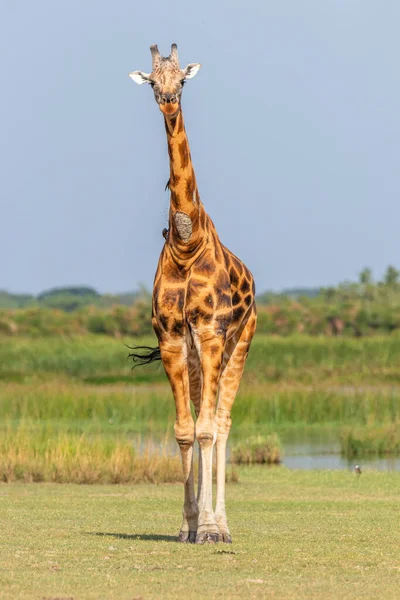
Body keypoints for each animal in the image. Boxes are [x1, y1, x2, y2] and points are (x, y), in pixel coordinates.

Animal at [130, 45, 258, 544]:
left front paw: (208, 528)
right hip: (200, 355)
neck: (187, 243)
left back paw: (222, 523)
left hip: (238, 343)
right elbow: (185, 431)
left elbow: (206, 430)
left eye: (181, 80)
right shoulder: (170, 338)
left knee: (221, 424)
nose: (167, 100)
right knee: (207, 423)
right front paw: (186, 524)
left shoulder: (209, 332)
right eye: (152, 81)